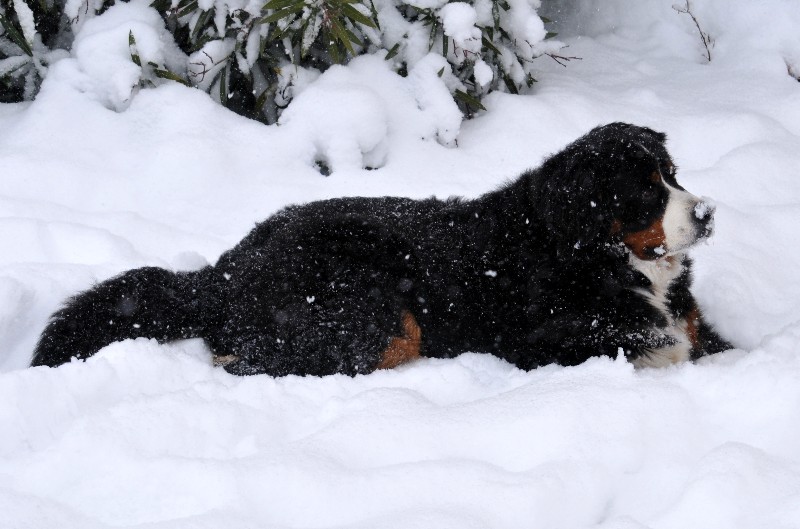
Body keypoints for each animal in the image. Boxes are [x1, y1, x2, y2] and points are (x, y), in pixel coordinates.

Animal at [31, 121, 732, 374]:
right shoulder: (548, 343)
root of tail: (226, 269)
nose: (705, 212)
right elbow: (653, 345)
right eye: (643, 190)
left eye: (673, 174)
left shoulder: (694, 323)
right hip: (377, 315)